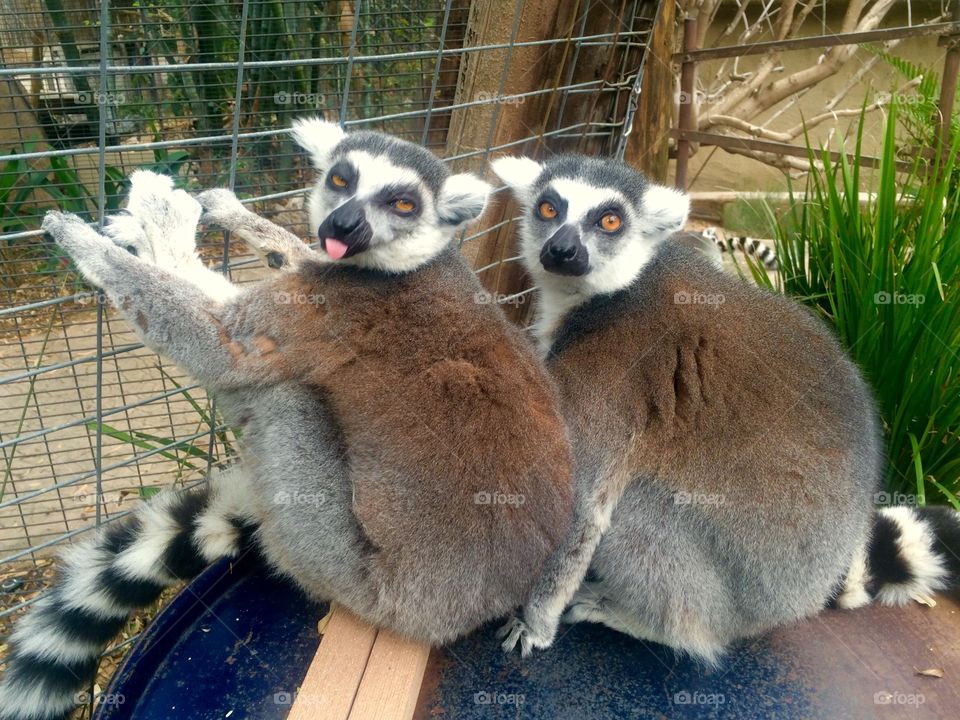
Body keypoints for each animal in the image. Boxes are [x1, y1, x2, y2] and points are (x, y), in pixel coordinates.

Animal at [0, 122, 574, 720]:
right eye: (341, 179)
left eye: (403, 203)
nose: (341, 225)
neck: (411, 264)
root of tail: (472, 612)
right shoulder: (320, 273)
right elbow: (291, 253)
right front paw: (217, 211)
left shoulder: (327, 310)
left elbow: (222, 343)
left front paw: (108, 234)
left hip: (339, 563)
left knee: (282, 398)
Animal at [489, 154, 960, 662]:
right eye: (548, 208)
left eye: (609, 221)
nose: (561, 250)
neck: (607, 295)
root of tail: (810, 589)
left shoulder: (612, 373)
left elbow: (582, 508)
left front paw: (534, 624)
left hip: (734, 592)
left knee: (642, 515)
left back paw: (647, 622)